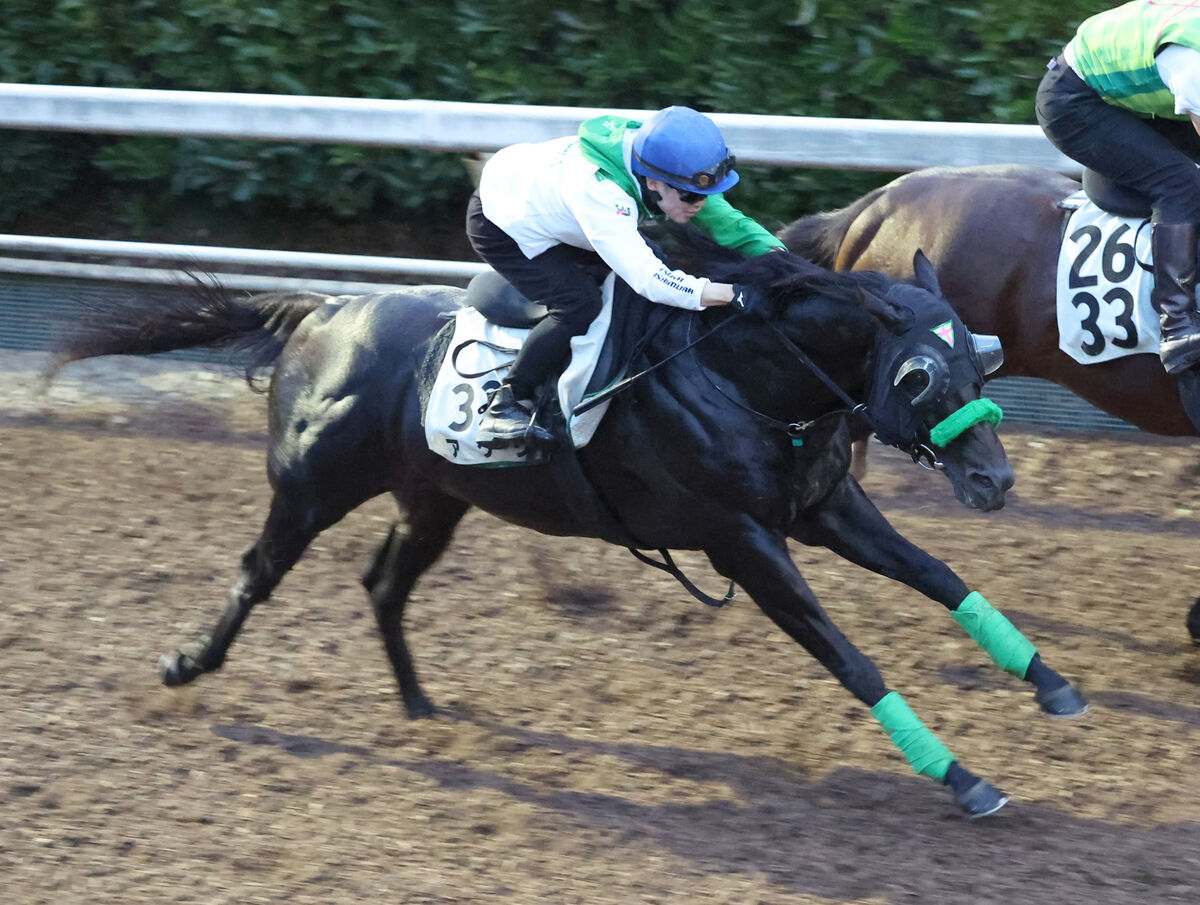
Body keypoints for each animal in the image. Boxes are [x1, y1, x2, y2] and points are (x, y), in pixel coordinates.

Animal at [46, 243, 1084, 816]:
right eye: (917, 374)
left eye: (984, 358)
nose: (993, 477)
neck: (744, 377)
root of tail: (324, 309)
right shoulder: (741, 540)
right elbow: (850, 656)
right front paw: (960, 775)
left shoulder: (826, 507)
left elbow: (941, 576)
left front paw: (1052, 683)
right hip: (310, 490)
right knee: (256, 570)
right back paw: (187, 663)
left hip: (437, 497)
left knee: (383, 582)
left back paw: (422, 708)